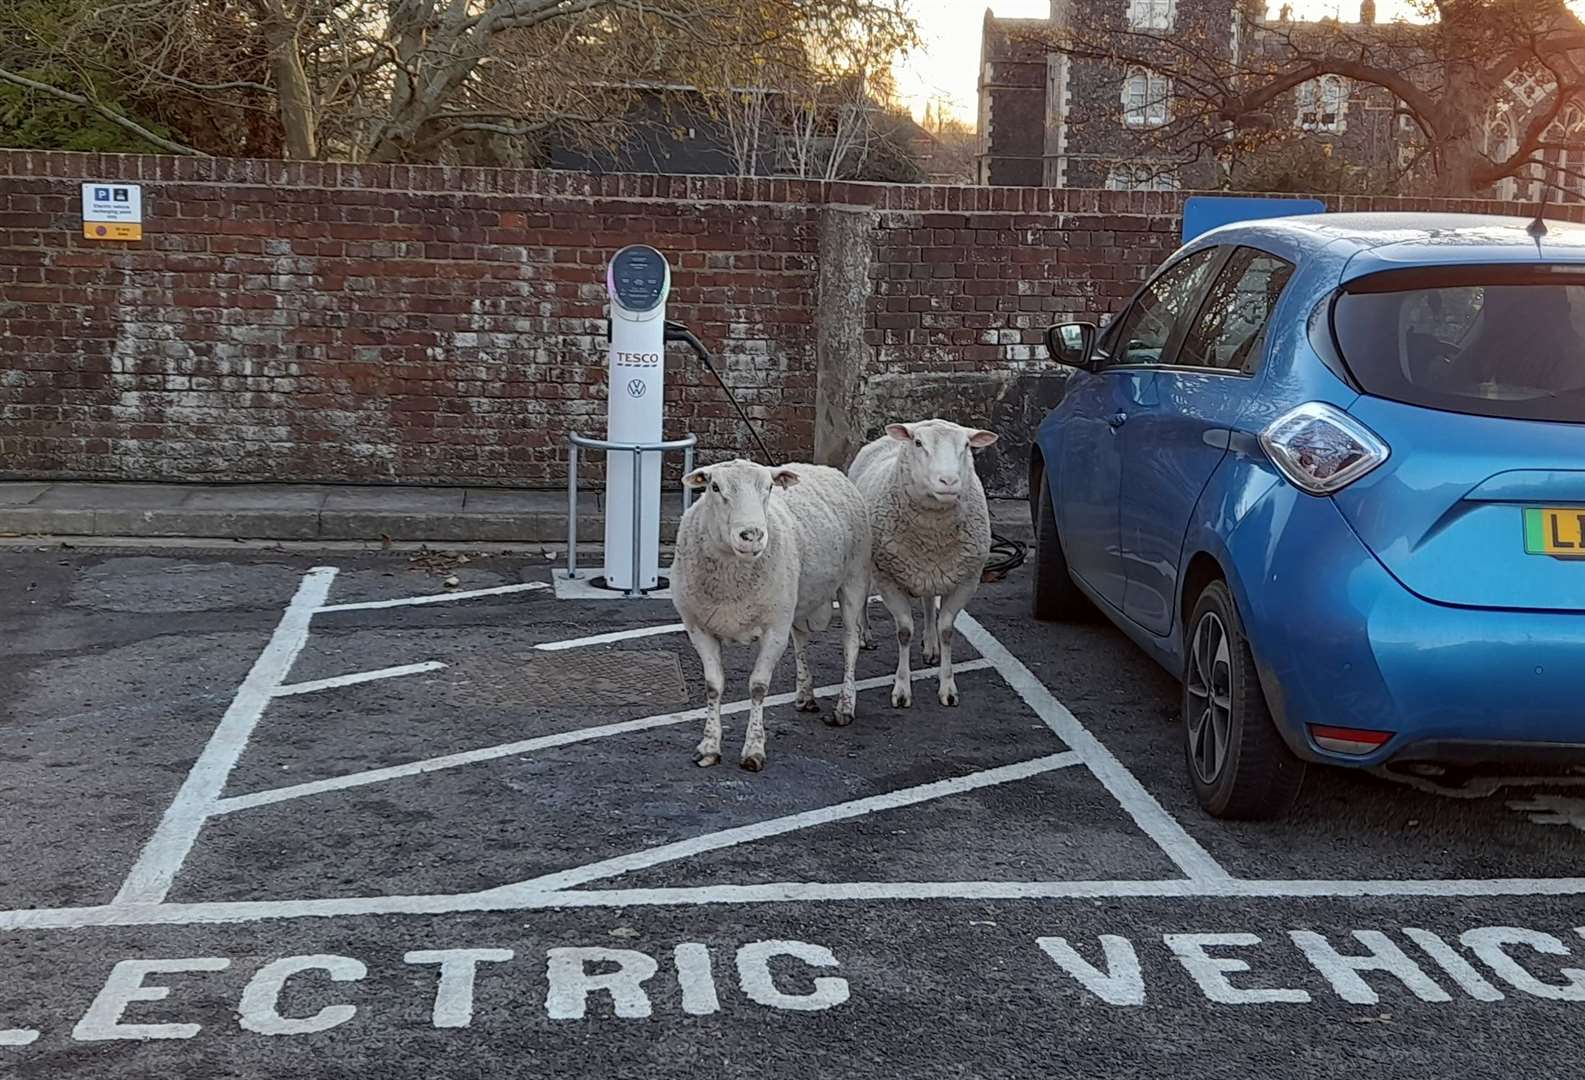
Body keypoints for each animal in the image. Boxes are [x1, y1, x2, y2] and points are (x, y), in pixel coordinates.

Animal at [665, 459, 874, 770]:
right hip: (795, 600)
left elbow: (758, 687)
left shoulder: (774, 630)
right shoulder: (698, 628)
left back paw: (845, 707)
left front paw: (753, 750)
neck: (731, 583)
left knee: (849, 643)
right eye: (715, 487)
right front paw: (709, 747)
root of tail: (825, 467)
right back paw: (805, 695)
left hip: (854, 580)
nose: (751, 535)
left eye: (770, 487)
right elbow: (713, 687)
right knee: (801, 641)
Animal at [849, 418, 995, 707]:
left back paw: (930, 646)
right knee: (862, 599)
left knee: (928, 602)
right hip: (866, 560)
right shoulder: (888, 579)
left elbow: (947, 629)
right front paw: (902, 690)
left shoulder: (967, 580)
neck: (932, 538)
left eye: (966, 445)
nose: (949, 481)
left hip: (931, 572)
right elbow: (904, 631)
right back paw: (865, 634)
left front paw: (947, 688)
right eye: (918, 443)